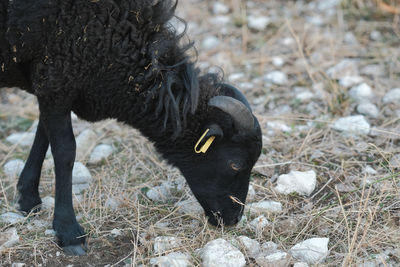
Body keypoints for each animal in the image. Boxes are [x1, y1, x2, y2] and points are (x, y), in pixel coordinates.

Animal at [0, 0, 262, 256]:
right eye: (235, 164)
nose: (234, 220)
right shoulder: (57, 75)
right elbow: (65, 151)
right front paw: (69, 232)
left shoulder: (54, 81)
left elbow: (42, 134)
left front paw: (27, 198)